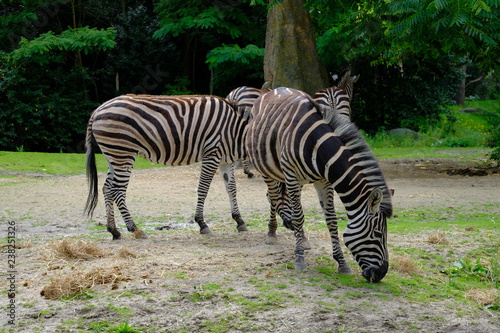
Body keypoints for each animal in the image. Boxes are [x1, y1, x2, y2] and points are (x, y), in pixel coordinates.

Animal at [86, 93, 252, 239]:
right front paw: (201, 223)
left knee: (107, 188)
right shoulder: (212, 154)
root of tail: (98, 109)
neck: (235, 131)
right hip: (123, 152)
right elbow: (203, 188)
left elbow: (231, 188)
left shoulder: (226, 160)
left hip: (113, 154)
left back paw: (114, 231)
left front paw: (239, 220)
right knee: (117, 190)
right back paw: (135, 229)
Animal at [248, 87, 392, 282]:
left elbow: (331, 219)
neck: (315, 145)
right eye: (378, 234)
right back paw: (272, 233)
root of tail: (275, 89)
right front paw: (299, 258)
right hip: (267, 169)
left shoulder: (324, 181)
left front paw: (341, 262)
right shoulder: (292, 176)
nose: (381, 273)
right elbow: (299, 216)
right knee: (273, 196)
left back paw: (302, 239)